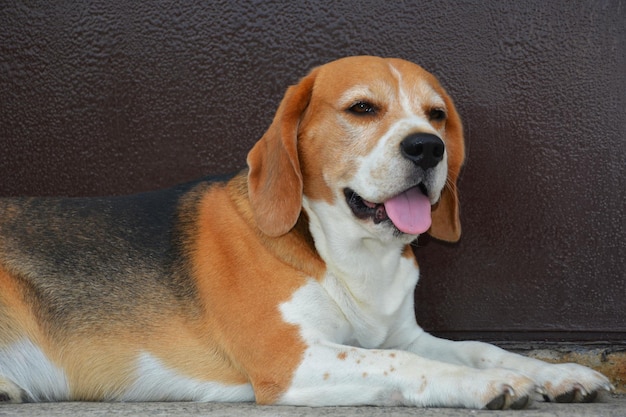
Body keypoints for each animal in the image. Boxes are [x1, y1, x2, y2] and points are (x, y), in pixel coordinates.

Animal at [0, 54, 608, 406]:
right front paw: (487, 386)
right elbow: (411, 364)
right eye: (362, 108)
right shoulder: (288, 361)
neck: (352, 253)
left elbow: (480, 346)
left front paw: (556, 373)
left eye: (436, 114)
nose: (428, 148)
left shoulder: (401, 334)